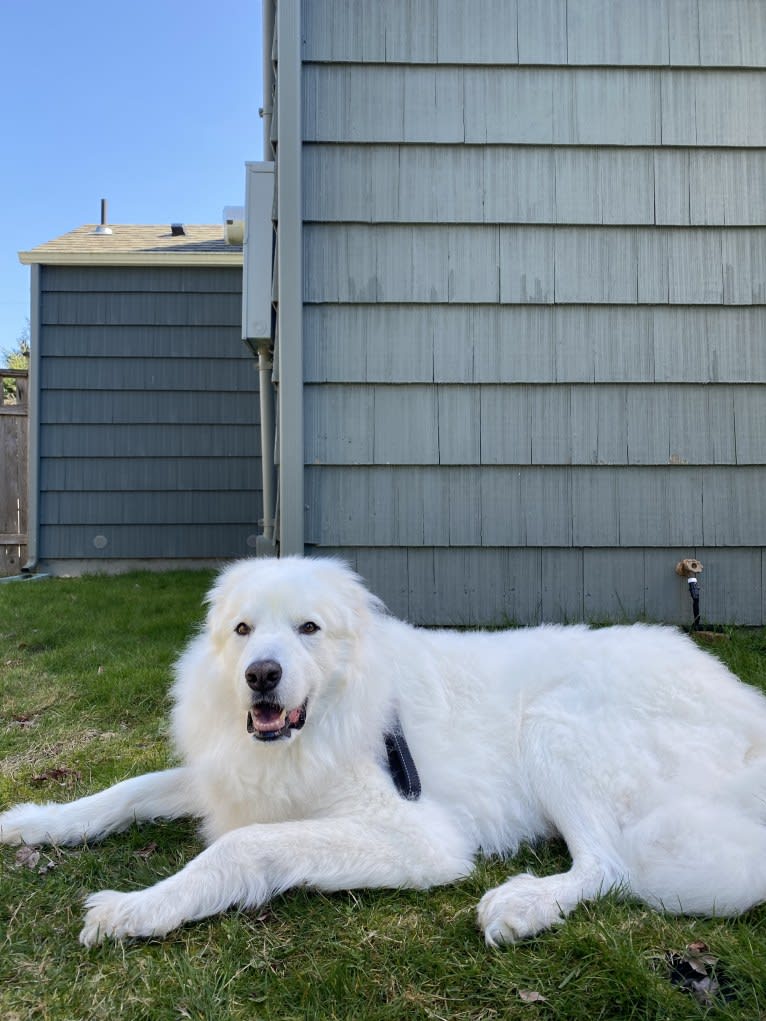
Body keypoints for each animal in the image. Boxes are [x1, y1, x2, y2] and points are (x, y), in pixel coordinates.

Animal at [1, 555, 766, 943]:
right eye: (244, 630)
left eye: (308, 629)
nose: (261, 675)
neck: (328, 716)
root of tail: (744, 705)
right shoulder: (233, 774)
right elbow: (123, 791)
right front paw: (37, 821)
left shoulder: (419, 836)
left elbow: (242, 848)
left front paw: (138, 909)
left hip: (554, 725)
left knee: (607, 866)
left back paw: (524, 904)